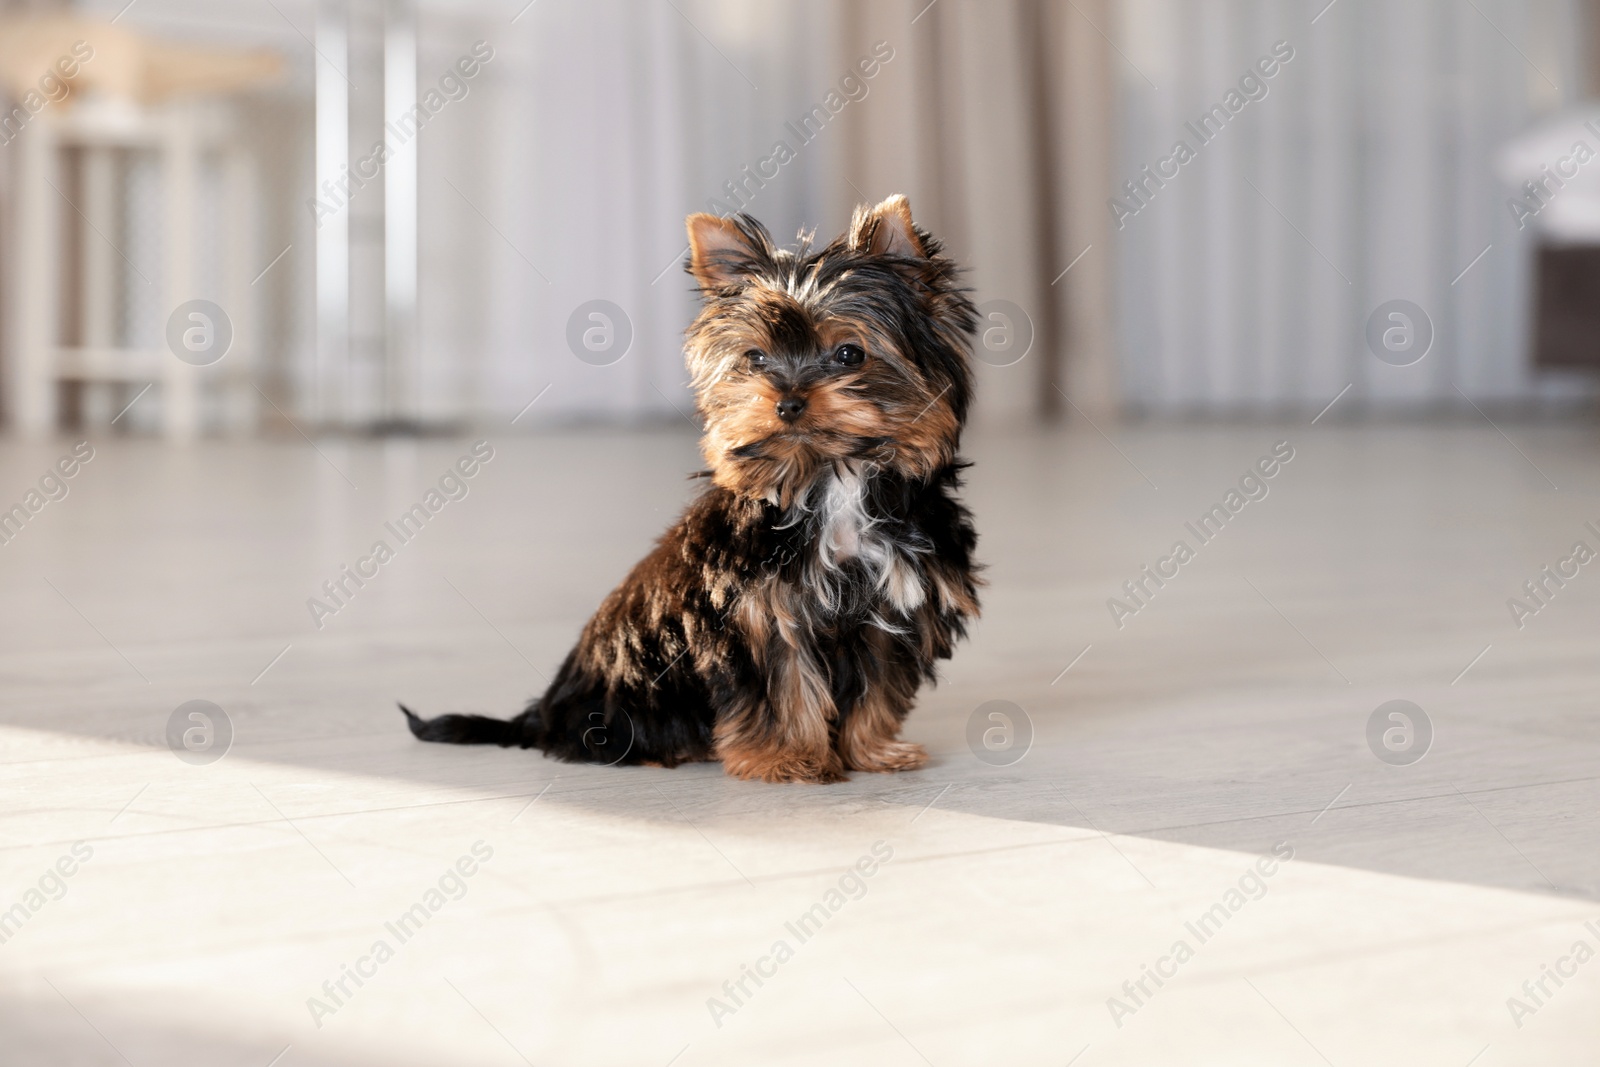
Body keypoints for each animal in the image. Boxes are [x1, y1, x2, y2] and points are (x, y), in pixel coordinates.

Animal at [403, 195, 972, 780]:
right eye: (755, 358)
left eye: (850, 354)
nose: (788, 403)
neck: (830, 477)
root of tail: (544, 712)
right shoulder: (760, 614)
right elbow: (784, 687)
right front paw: (790, 759)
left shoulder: (894, 605)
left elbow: (878, 685)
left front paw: (874, 751)